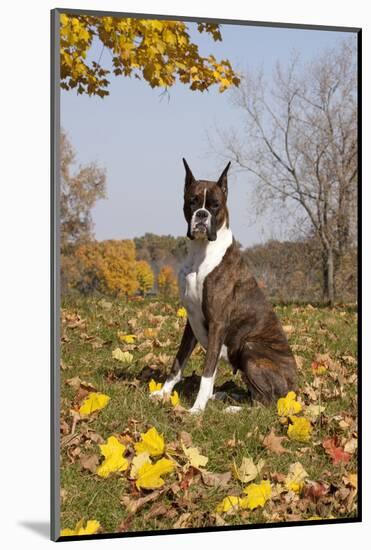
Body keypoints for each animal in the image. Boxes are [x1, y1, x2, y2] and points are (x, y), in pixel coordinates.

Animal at [150, 158, 298, 414]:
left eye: (215, 205)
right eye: (192, 201)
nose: (201, 215)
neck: (201, 252)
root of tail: (296, 391)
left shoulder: (217, 324)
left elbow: (207, 373)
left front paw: (196, 410)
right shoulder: (191, 322)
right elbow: (178, 362)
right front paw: (163, 393)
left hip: (250, 347)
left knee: (266, 403)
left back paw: (233, 408)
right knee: (254, 395)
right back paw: (223, 396)